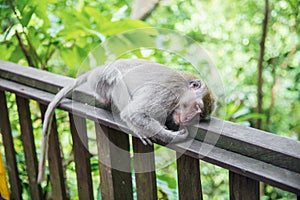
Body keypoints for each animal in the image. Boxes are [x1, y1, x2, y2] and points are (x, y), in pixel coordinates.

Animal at [37, 57, 216, 183]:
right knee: (116, 79)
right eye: (197, 107)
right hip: (101, 80)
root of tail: (97, 69)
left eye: (200, 114)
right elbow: (134, 113)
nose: (189, 118)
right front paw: (172, 135)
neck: (183, 90)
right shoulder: (166, 93)